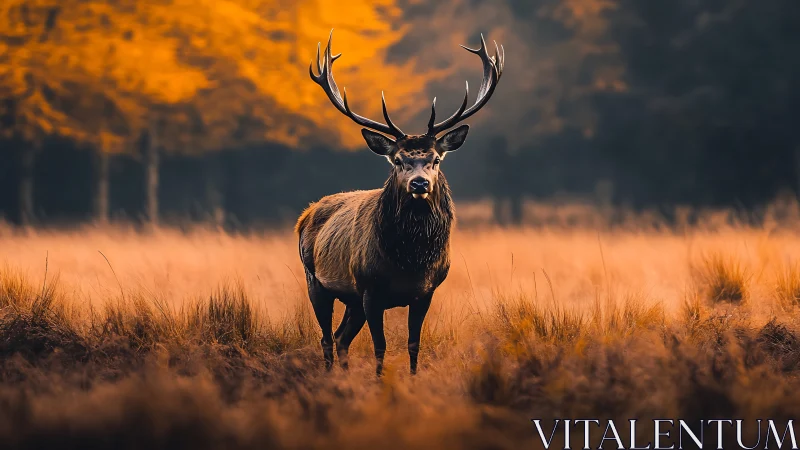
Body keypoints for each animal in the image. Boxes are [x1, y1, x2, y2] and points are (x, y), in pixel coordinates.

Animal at [296, 30, 504, 376]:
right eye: (397, 160)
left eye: (436, 159)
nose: (420, 183)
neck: (409, 261)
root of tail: (307, 213)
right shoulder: (370, 289)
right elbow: (380, 346)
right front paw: (381, 383)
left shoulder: (426, 291)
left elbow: (413, 343)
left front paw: (412, 378)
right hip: (316, 280)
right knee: (326, 337)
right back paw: (329, 377)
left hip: (351, 299)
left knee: (340, 337)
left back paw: (344, 378)